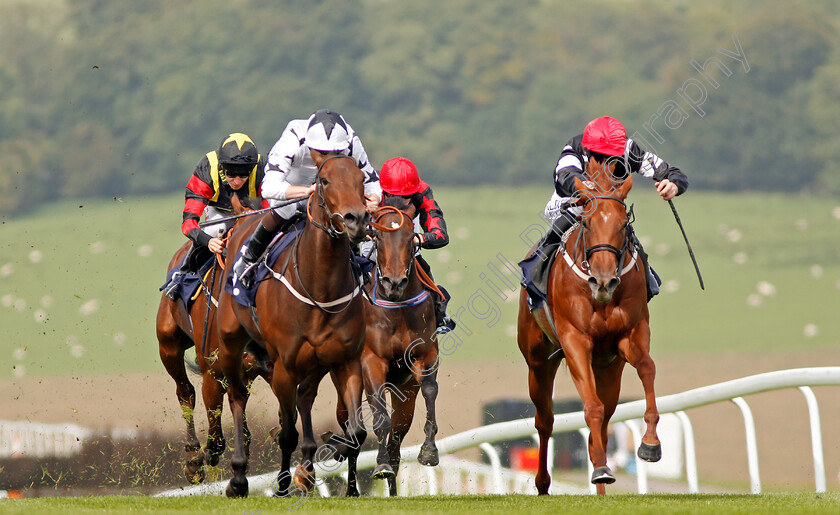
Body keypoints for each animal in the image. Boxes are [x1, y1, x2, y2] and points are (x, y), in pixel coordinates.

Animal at [158, 196, 272, 486]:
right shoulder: (212, 367)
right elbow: (213, 410)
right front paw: (208, 452)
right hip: (168, 343)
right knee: (185, 392)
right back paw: (193, 457)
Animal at [217, 154, 370, 500]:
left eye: (360, 178)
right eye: (324, 180)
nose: (356, 220)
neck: (320, 287)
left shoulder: (346, 360)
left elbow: (356, 431)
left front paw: (349, 486)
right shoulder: (284, 366)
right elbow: (287, 434)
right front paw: (284, 485)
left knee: (304, 399)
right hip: (231, 343)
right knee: (237, 397)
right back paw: (238, 477)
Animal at [520, 169, 664, 496]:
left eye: (623, 224)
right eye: (586, 222)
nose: (604, 281)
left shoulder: (630, 335)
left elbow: (647, 368)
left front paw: (650, 444)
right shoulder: (575, 341)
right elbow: (591, 408)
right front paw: (600, 469)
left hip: (609, 370)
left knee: (605, 417)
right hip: (538, 363)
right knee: (545, 420)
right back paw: (543, 483)